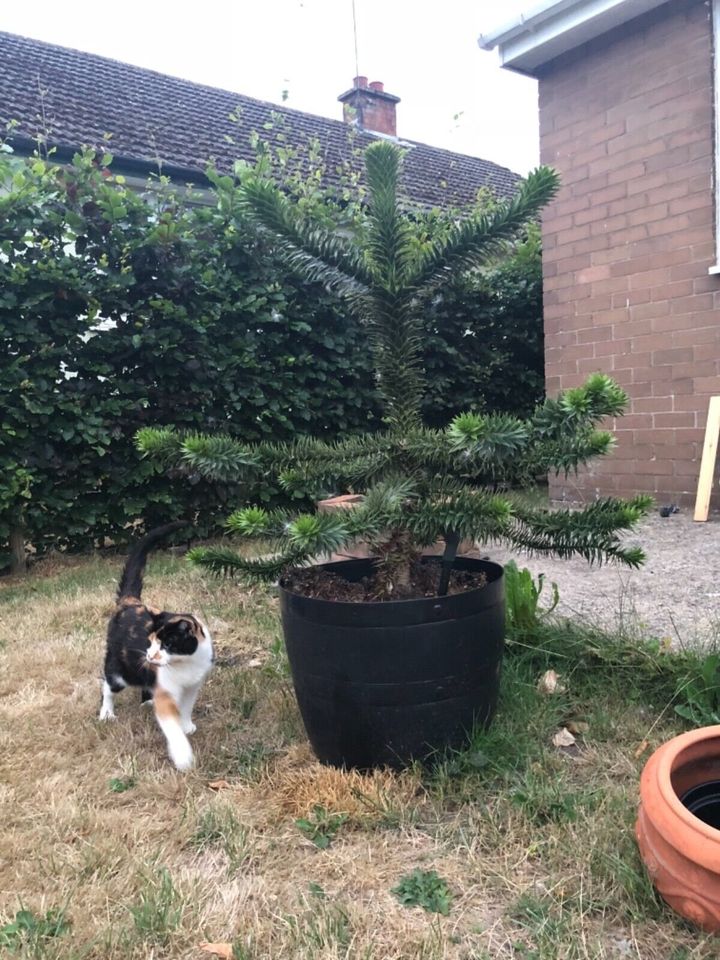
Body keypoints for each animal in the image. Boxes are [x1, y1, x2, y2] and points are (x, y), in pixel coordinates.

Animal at [100, 520, 214, 768]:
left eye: (168, 644)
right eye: (150, 641)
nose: (150, 656)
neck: (185, 665)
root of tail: (129, 602)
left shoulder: (193, 684)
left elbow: (187, 707)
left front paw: (187, 725)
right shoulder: (165, 691)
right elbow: (170, 723)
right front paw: (182, 755)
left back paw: (146, 700)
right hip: (119, 668)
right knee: (108, 684)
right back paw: (106, 713)